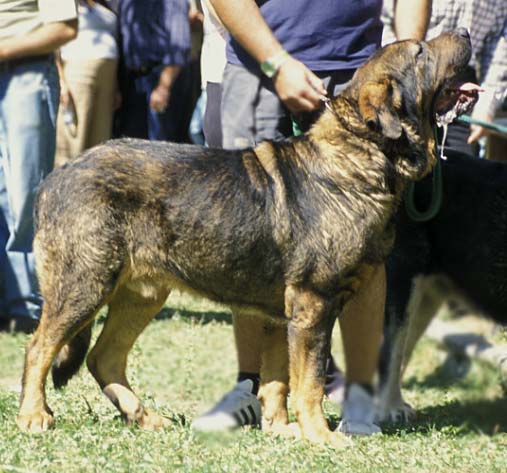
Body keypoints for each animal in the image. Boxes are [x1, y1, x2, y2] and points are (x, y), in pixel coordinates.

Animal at [16, 30, 476, 446]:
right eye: (420, 51)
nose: (467, 32)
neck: (362, 153)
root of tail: (56, 176)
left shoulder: (284, 311)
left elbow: (278, 377)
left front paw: (281, 428)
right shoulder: (313, 301)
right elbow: (309, 378)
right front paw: (319, 435)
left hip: (142, 294)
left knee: (104, 357)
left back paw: (143, 417)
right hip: (85, 283)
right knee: (39, 347)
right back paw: (34, 416)